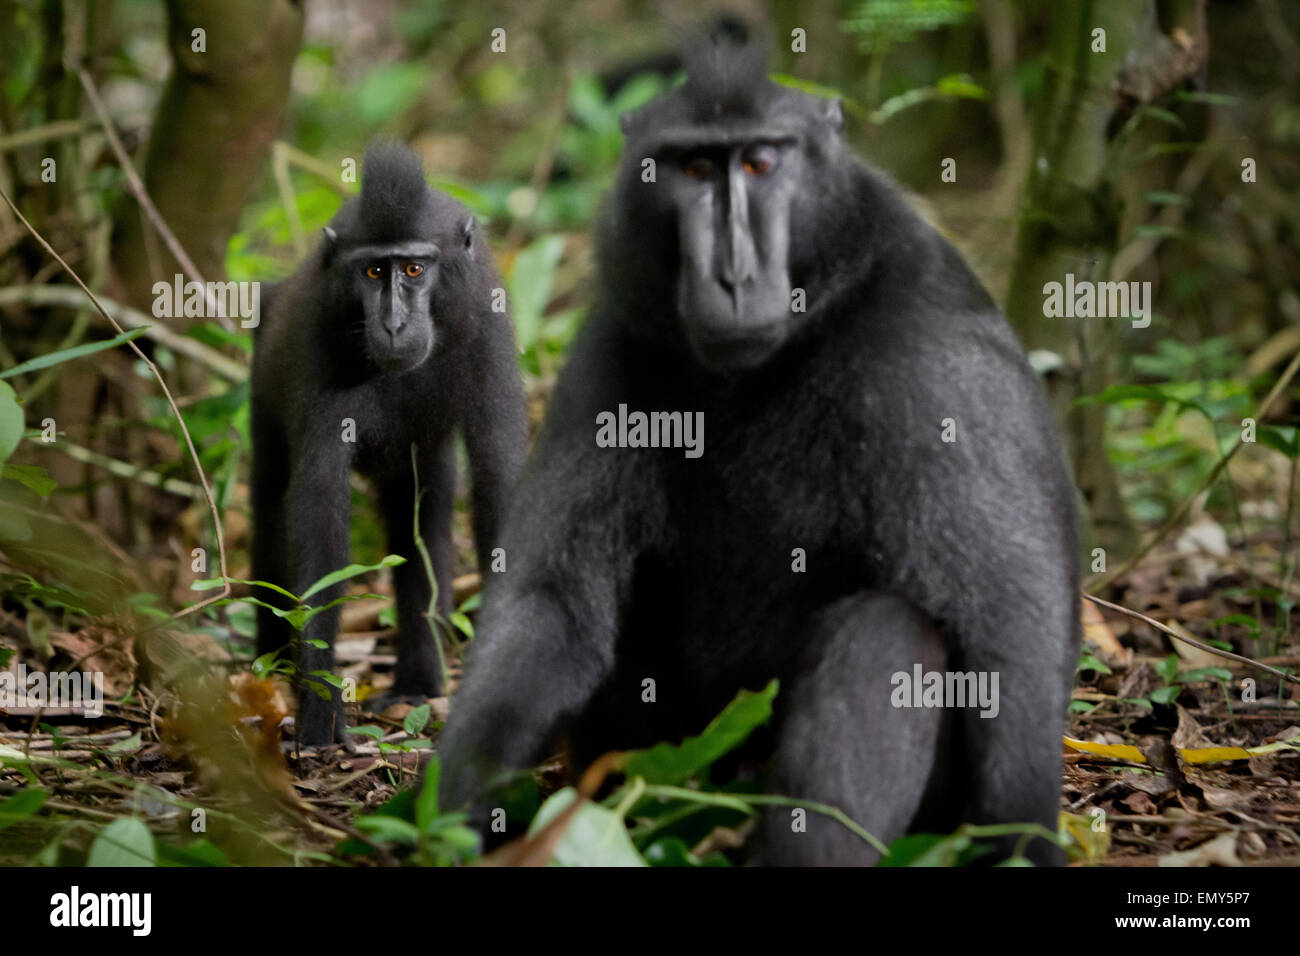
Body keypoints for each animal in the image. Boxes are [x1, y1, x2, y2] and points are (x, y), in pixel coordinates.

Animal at [250, 142, 527, 747]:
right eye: (375, 270)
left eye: (415, 268)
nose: (395, 323)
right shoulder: (318, 335)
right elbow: (319, 505)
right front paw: (321, 705)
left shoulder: (489, 328)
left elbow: (498, 475)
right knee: (269, 508)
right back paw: (269, 667)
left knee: (420, 521)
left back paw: (419, 682)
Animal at [436, 26, 1079, 866]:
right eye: (694, 167)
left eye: (760, 163)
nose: (733, 274)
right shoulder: (617, 347)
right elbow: (552, 603)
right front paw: (449, 808)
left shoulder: (931, 351)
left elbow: (1010, 633)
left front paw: (1023, 841)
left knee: (886, 635)